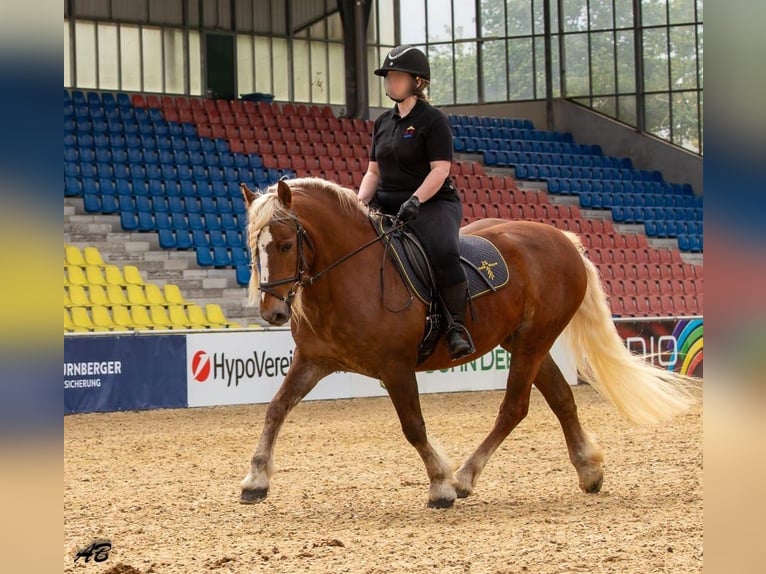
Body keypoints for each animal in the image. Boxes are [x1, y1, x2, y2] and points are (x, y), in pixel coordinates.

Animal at [238, 179, 696, 508]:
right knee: (561, 398)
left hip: (534, 340)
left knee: (515, 408)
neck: (349, 275)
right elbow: (276, 409)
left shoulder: (395, 367)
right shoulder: (312, 361)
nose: (272, 312)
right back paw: (589, 469)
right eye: (253, 246)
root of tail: (562, 239)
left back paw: (463, 477)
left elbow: (413, 426)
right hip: (524, 341)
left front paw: (440, 485)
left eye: (285, 244)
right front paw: (255, 479)